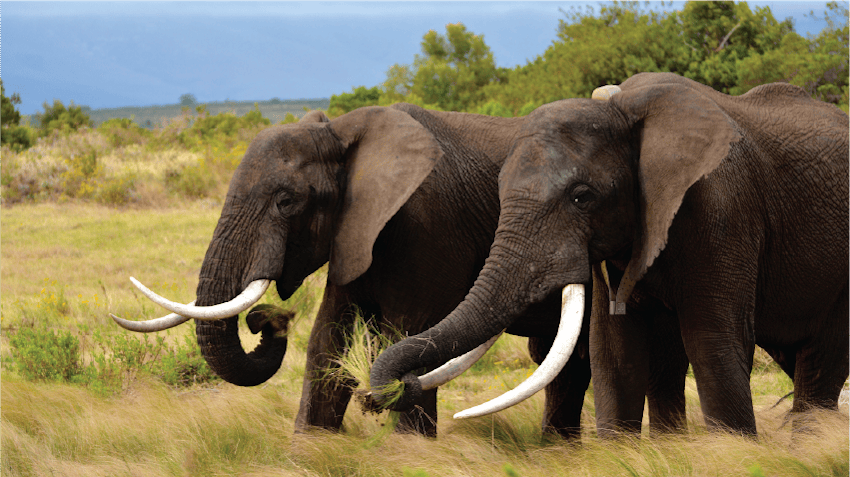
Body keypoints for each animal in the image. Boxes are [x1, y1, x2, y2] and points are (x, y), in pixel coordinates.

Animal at [111, 103, 595, 438]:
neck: (343, 135)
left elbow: (406, 338)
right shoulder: (353, 233)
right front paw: (309, 451)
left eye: (286, 202)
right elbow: (327, 340)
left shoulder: (428, 227)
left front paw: (410, 455)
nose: (270, 320)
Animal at [369, 72, 850, 438]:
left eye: (582, 197)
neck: (624, 111)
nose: (390, 391)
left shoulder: (722, 209)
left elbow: (713, 343)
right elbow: (614, 350)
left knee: (819, 365)